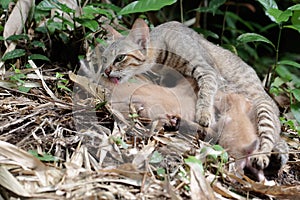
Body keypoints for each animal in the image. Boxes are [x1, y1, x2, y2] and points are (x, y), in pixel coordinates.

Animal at [101, 18, 288, 170]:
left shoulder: (209, 72)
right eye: (104, 58)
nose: (105, 71)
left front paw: (204, 114)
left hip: (264, 109)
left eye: (120, 58)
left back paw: (263, 156)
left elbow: (207, 93)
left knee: (268, 139)